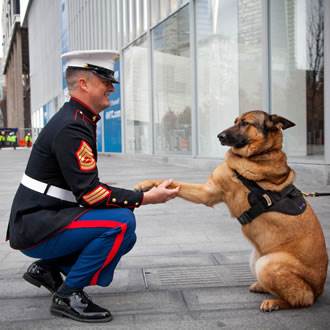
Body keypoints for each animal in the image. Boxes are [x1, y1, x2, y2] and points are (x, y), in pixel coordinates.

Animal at [135, 111, 328, 312]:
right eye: (235, 121)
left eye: (245, 123)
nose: (219, 136)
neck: (259, 154)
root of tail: (319, 289)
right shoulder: (208, 192)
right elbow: (173, 183)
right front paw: (146, 184)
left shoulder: (207, 193)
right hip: (255, 259)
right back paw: (261, 287)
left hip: (267, 264)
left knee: (302, 298)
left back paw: (274, 302)